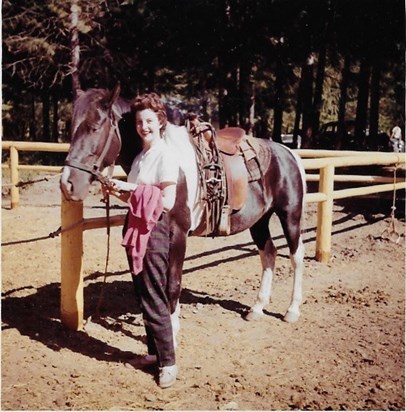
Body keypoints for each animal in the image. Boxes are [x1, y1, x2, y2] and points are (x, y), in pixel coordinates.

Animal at [61, 85, 304, 334]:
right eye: (71, 128)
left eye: (95, 127)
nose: (67, 183)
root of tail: (288, 153)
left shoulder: (179, 234)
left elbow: (173, 282)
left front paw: (173, 326)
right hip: (259, 220)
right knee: (269, 253)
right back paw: (257, 308)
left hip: (290, 215)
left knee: (296, 256)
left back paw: (292, 310)